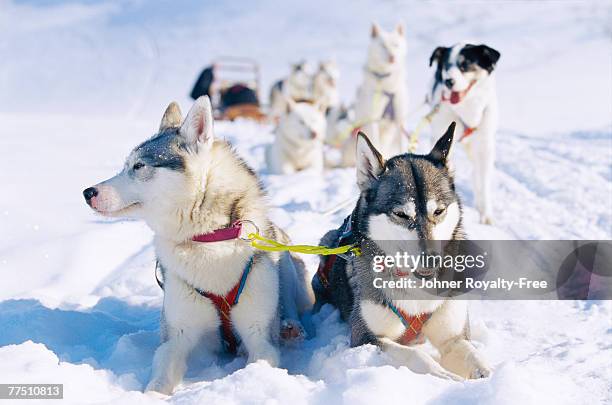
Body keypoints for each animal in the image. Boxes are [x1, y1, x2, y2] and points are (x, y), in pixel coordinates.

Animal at [83, 96, 314, 392]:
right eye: (126, 165)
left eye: (139, 166)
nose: (87, 192)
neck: (209, 241)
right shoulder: (176, 335)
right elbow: (162, 371)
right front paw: (153, 394)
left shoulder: (260, 336)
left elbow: (261, 357)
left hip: (284, 260)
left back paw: (291, 326)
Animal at [314, 122, 490, 378]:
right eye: (401, 214)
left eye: (438, 211)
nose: (431, 261)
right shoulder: (366, 338)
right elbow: (416, 355)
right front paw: (442, 376)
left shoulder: (454, 337)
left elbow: (474, 357)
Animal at [428, 42, 500, 224]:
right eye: (446, 66)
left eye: (465, 65)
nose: (449, 81)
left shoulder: (485, 147)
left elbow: (484, 183)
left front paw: (486, 215)